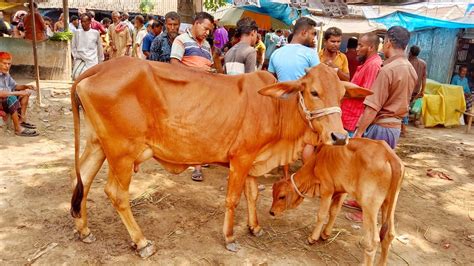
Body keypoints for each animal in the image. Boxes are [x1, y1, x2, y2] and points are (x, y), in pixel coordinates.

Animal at [69, 56, 370, 258]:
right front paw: (229, 237)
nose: (339, 136)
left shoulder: (253, 160)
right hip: (121, 152)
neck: (275, 109)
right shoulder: (241, 159)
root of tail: (98, 68)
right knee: (115, 193)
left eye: (342, 95)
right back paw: (141, 242)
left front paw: (255, 227)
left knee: (82, 179)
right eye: (313, 91)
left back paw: (83, 231)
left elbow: (253, 195)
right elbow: (233, 199)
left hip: (98, 144)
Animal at [270, 138, 404, 264]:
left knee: (373, 241)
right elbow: (334, 211)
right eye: (273, 194)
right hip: (389, 202)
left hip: (369, 205)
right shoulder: (342, 191)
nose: (271, 212)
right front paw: (325, 234)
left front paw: (313, 238)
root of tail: (389, 154)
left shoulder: (327, 190)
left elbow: (321, 214)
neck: (316, 161)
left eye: (281, 196)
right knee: (389, 235)